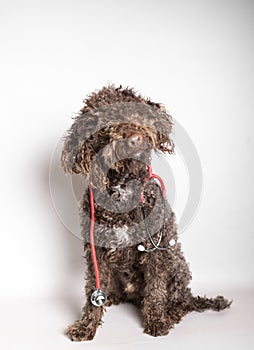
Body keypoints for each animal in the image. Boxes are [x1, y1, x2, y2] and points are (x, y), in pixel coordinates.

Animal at [61, 83, 232, 340]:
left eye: (137, 112)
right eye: (106, 122)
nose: (135, 139)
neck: (123, 188)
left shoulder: (156, 253)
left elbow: (155, 290)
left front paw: (157, 321)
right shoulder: (96, 252)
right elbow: (93, 290)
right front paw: (86, 325)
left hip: (176, 265)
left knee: (181, 302)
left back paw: (170, 313)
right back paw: (113, 296)